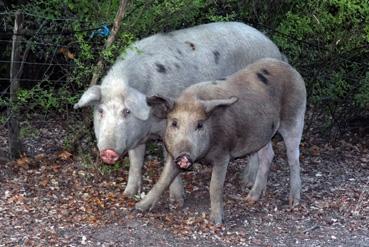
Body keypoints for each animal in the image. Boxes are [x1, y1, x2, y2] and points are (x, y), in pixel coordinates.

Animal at [135, 57, 304, 224]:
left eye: (200, 125)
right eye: (174, 123)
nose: (184, 156)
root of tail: (290, 68)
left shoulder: (223, 153)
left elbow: (215, 186)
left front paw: (216, 222)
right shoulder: (172, 154)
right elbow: (162, 180)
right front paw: (139, 207)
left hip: (294, 118)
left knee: (294, 158)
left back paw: (293, 202)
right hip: (263, 133)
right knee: (268, 156)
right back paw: (250, 199)